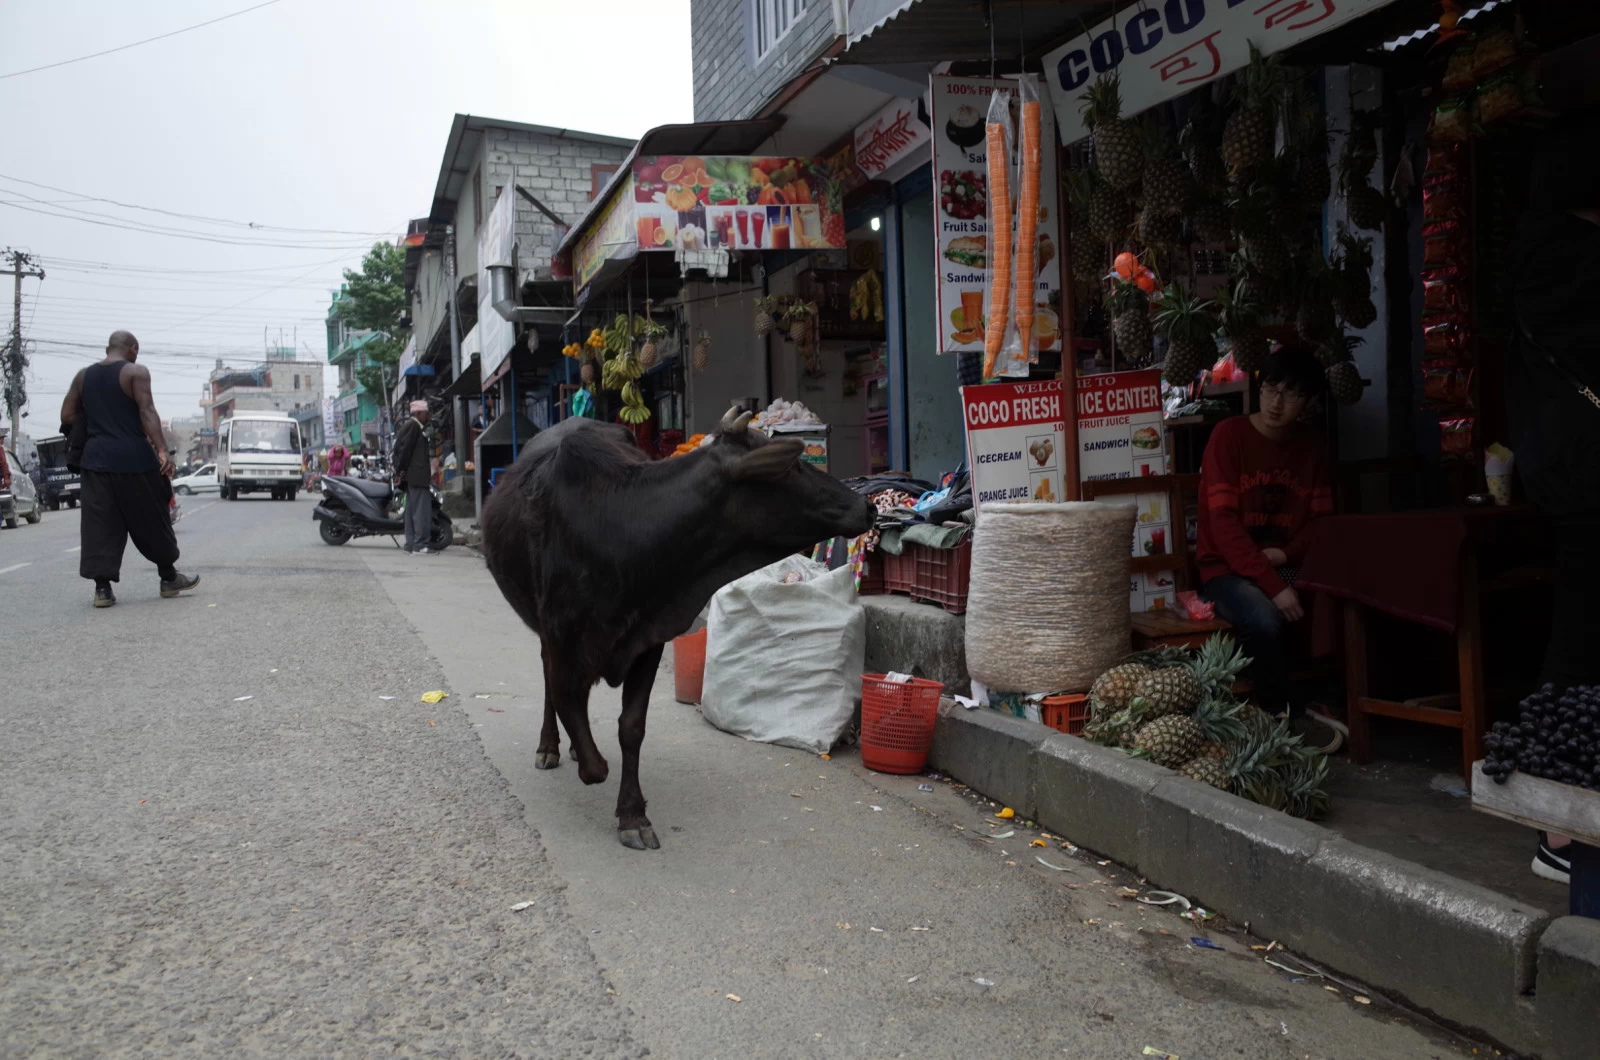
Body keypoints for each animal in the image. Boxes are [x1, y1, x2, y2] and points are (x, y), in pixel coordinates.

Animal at [480, 408, 876, 858]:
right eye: (790, 467)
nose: (867, 506)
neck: (624, 530)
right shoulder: (565, 641)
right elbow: (575, 720)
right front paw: (592, 767)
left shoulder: (648, 638)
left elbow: (631, 728)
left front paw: (632, 815)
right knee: (549, 680)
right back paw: (548, 746)